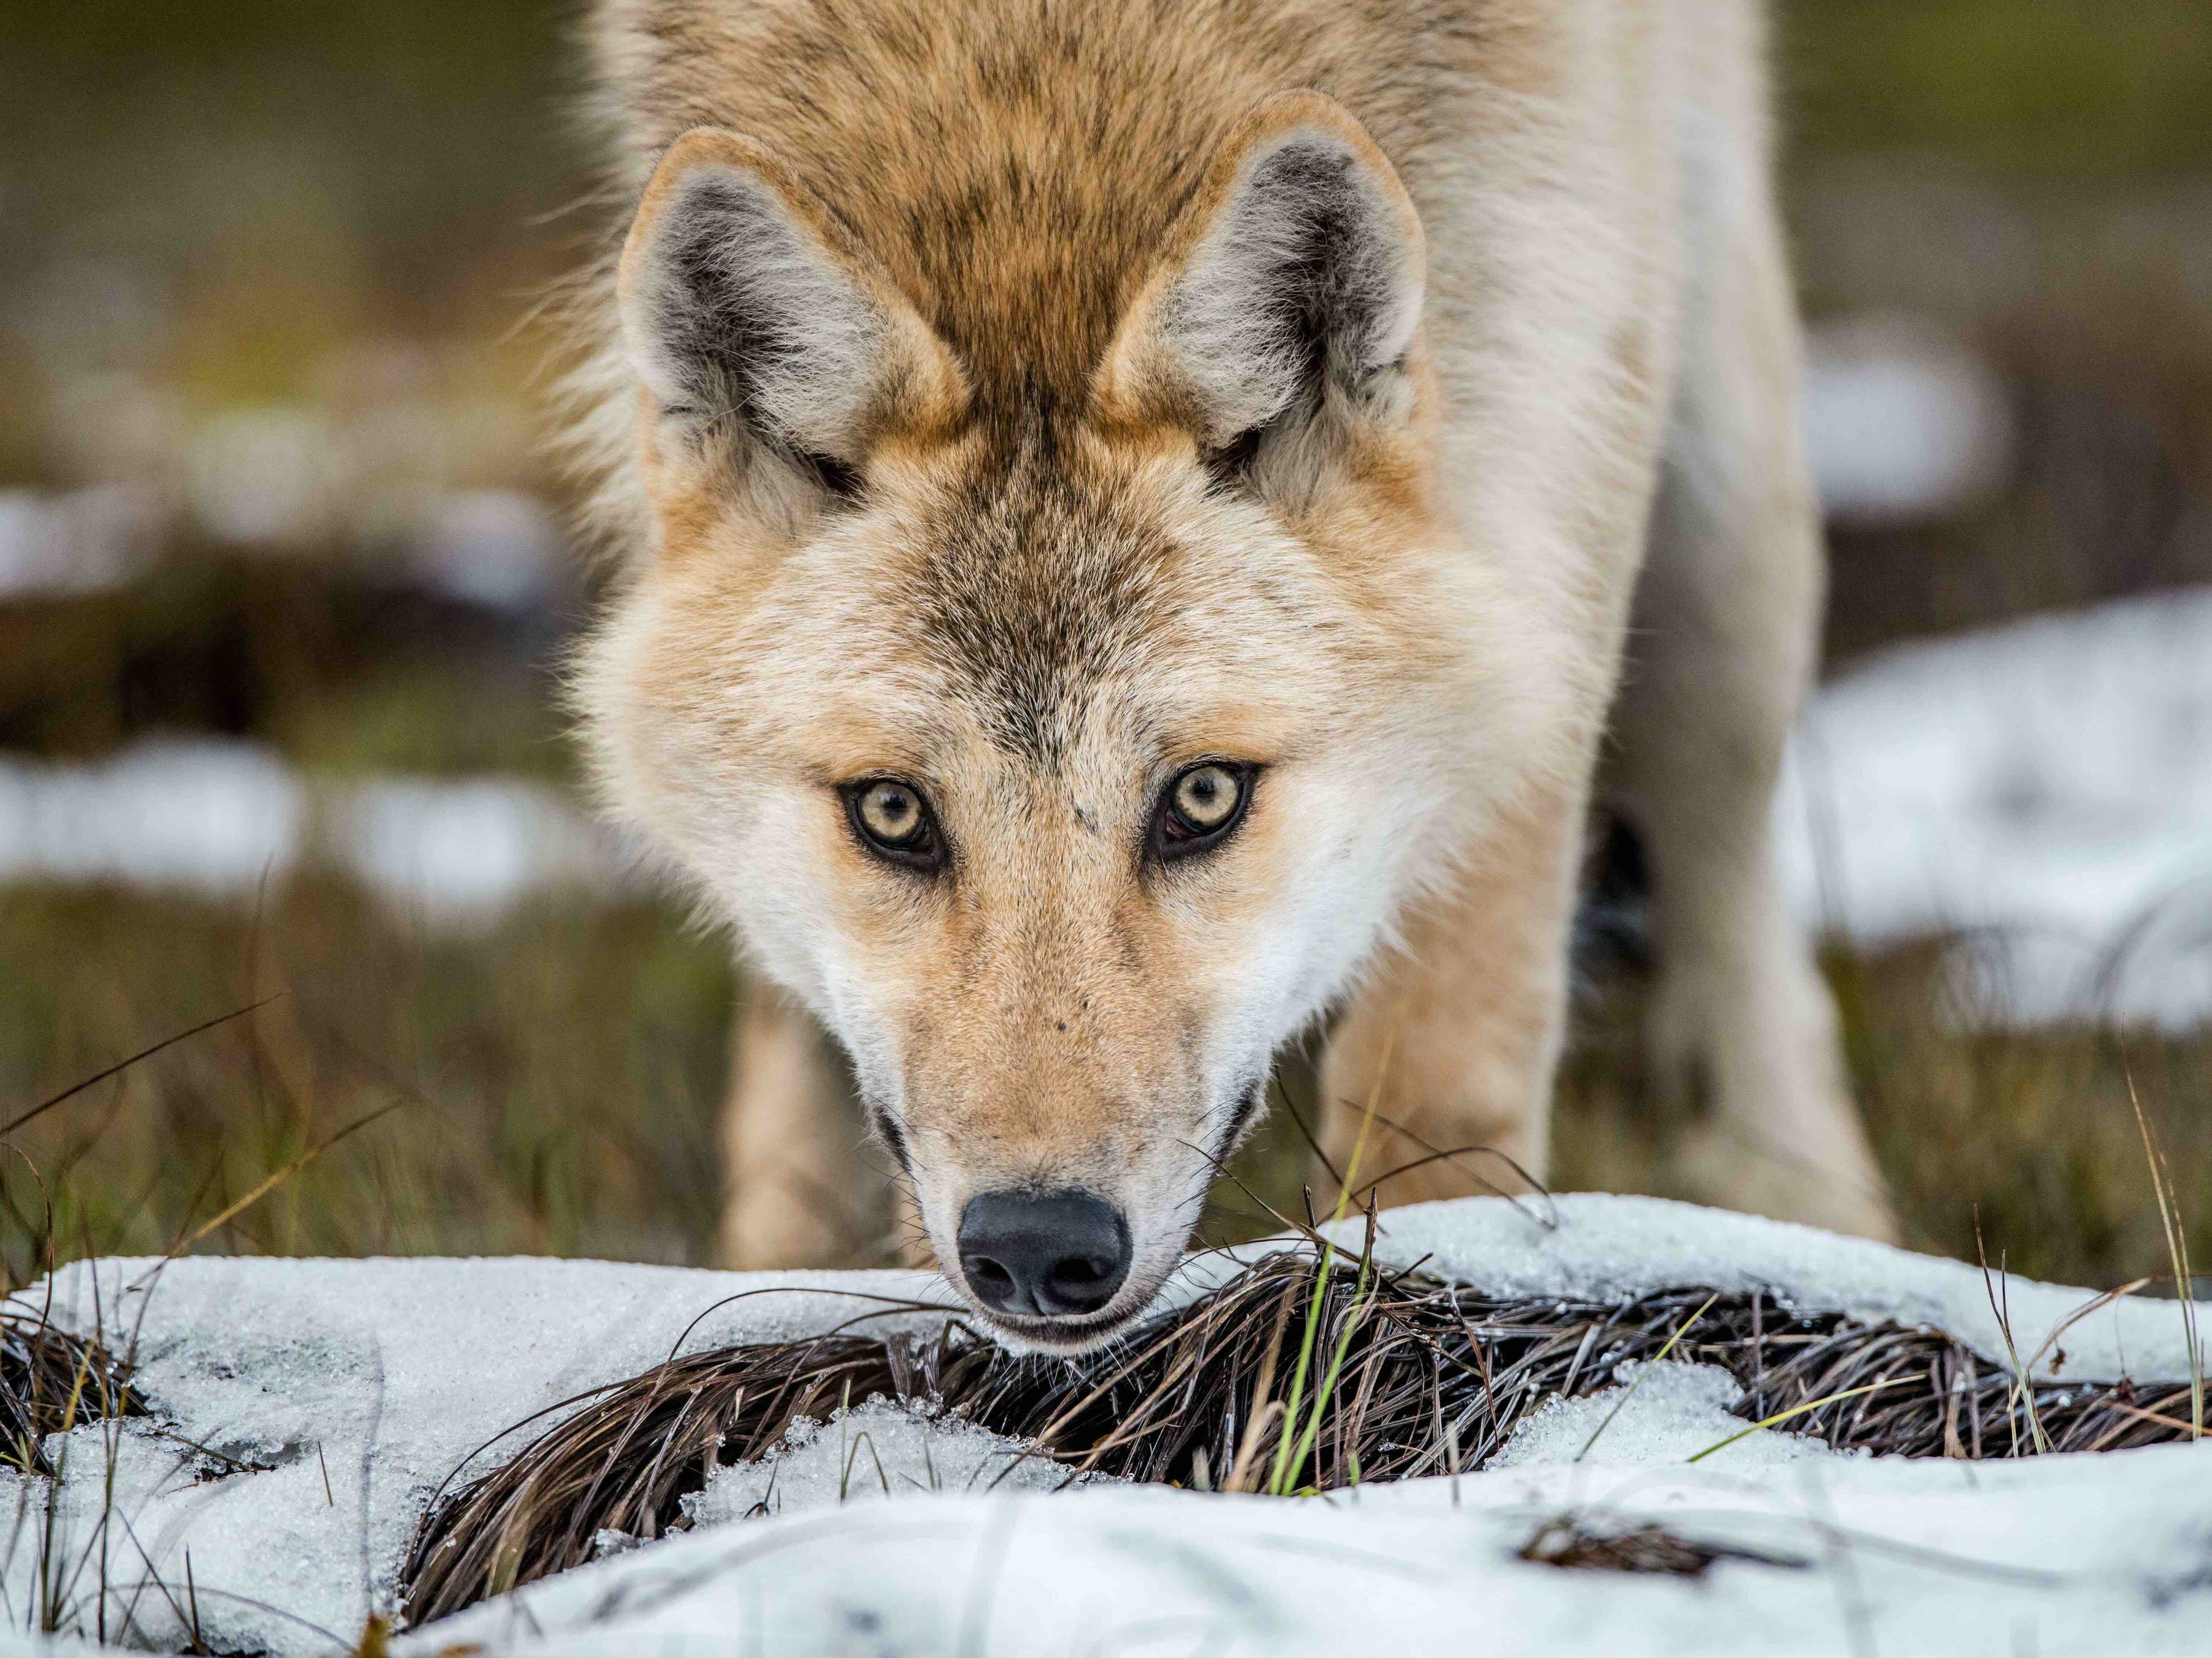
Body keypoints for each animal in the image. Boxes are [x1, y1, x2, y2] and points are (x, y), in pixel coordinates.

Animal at [566, 0, 1884, 1353]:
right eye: (891, 812)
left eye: (1203, 798)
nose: (1037, 1248)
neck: (1041, 103)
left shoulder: (1552, 465)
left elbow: (1442, 1079)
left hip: (1718, 514)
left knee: (1734, 877)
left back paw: (1810, 1213)